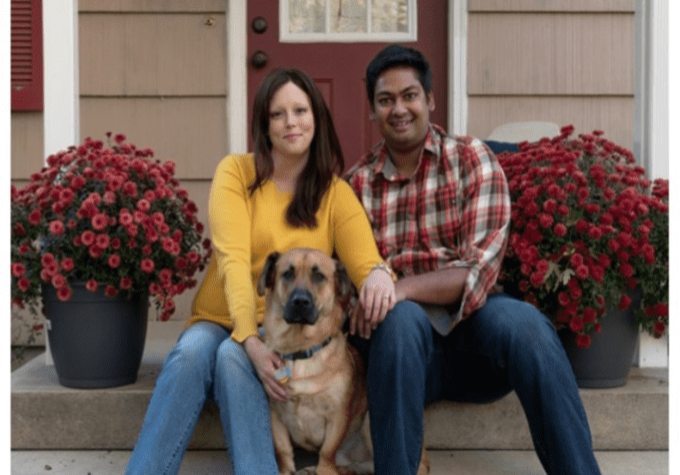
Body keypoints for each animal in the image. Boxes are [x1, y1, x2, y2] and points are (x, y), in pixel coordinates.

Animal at [258, 249, 428, 475]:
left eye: (319, 276)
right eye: (287, 274)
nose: (300, 301)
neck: (301, 350)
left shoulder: (338, 415)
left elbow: (327, 451)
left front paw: (322, 469)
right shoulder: (275, 414)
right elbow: (283, 451)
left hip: (369, 421)